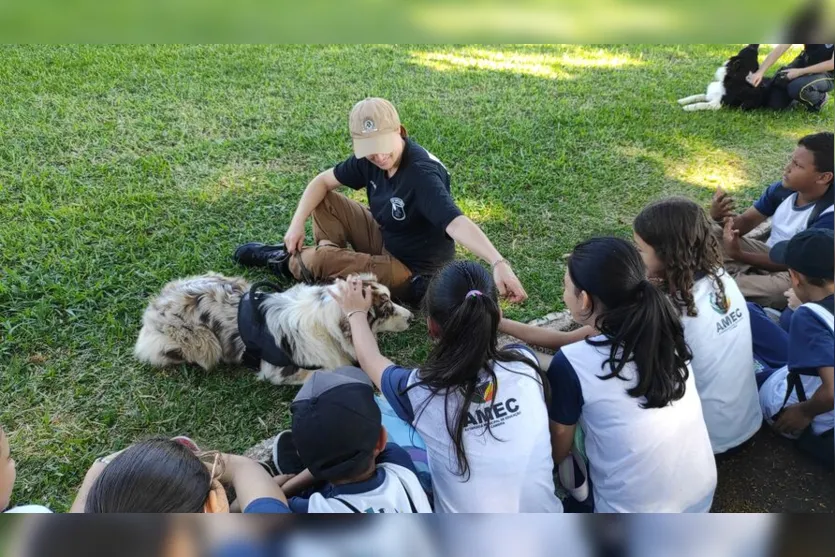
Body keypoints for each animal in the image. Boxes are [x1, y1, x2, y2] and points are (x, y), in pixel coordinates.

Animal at [133, 272, 414, 384]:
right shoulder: (280, 371)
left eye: (392, 300)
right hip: (201, 342)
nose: (411, 317)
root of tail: (154, 307)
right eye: (387, 311)